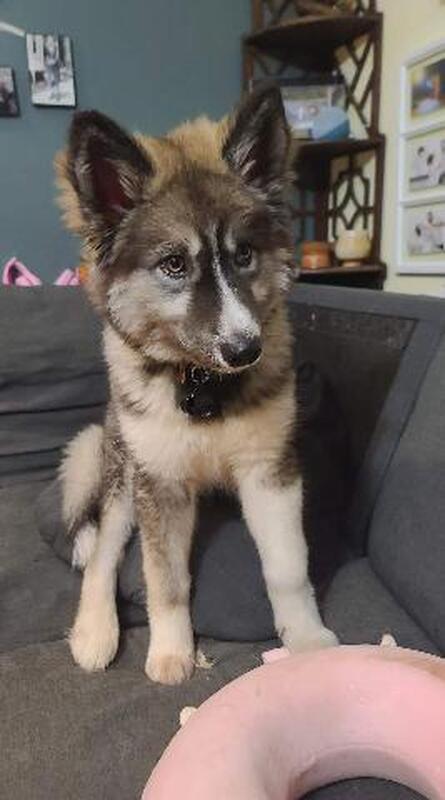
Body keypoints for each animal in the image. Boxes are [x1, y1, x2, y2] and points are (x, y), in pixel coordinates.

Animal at [57, 84, 337, 685]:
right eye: (173, 264)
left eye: (244, 254)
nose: (246, 350)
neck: (201, 380)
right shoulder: (157, 485)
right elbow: (164, 578)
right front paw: (171, 650)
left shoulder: (270, 471)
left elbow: (287, 566)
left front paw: (306, 638)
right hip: (124, 475)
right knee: (103, 551)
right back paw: (94, 630)